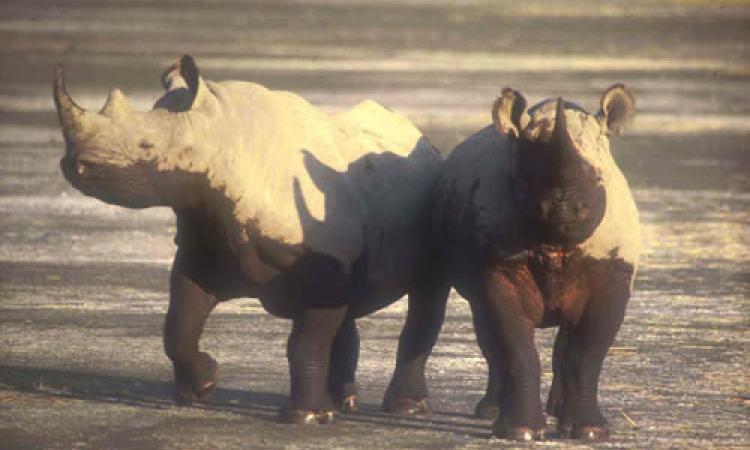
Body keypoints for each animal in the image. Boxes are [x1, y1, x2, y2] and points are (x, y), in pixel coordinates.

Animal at [53, 55, 449, 423]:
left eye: (147, 146)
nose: (74, 165)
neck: (221, 134)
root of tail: (425, 142)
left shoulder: (323, 257)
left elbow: (304, 343)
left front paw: (302, 418)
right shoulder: (205, 242)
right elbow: (179, 322)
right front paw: (202, 387)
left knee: (424, 296)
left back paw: (404, 409)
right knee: (348, 306)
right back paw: (343, 404)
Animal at [398, 85, 640, 440]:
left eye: (598, 178)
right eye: (525, 184)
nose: (562, 208)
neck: (556, 243)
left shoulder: (612, 270)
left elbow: (587, 354)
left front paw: (590, 432)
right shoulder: (500, 268)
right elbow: (516, 349)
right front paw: (521, 432)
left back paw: (557, 414)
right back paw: (490, 412)